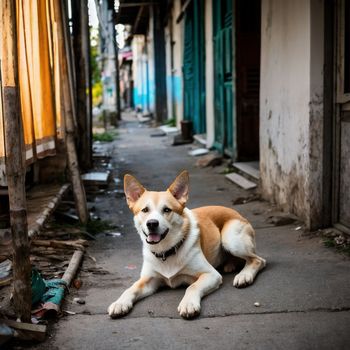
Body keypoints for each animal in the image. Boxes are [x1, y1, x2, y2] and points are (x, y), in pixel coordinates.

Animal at [108, 171, 266, 318]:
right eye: (145, 210)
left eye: (167, 210)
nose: (152, 223)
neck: (166, 251)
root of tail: (237, 213)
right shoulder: (148, 280)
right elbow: (131, 288)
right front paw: (119, 303)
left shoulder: (211, 274)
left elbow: (192, 287)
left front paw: (188, 303)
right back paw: (230, 265)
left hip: (231, 239)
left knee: (258, 260)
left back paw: (244, 275)